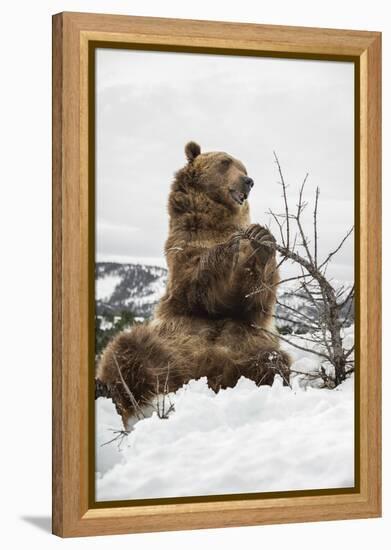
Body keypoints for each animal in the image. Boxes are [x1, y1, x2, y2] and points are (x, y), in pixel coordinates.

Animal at [95, 141, 290, 426]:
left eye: (244, 167)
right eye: (225, 162)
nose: (248, 181)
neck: (215, 221)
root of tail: (200, 372)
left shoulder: (250, 316)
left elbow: (255, 301)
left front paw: (261, 238)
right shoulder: (184, 250)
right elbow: (201, 283)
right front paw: (234, 246)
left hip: (245, 345)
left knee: (271, 360)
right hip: (164, 343)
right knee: (125, 349)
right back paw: (118, 393)